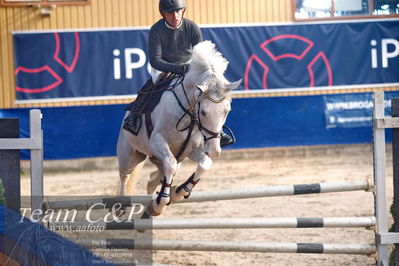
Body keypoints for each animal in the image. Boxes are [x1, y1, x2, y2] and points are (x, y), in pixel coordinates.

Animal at [117, 41, 242, 216]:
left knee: (160, 174)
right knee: (125, 175)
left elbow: (205, 164)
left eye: (227, 110)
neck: (188, 112)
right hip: (129, 155)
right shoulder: (157, 142)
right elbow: (170, 164)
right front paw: (160, 203)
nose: (214, 151)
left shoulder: (192, 149)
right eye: (203, 112)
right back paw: (121, 208)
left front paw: (179, 192)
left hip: (171, 157)